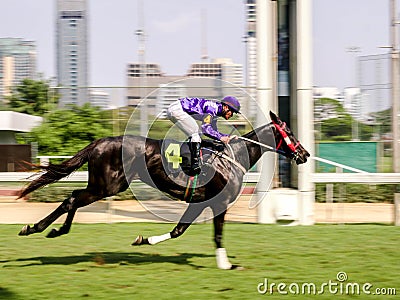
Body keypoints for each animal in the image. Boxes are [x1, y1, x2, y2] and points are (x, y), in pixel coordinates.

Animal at [18, 110, 310, 270]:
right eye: (290, 132)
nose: (305, 154)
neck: (232, 157)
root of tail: (101, 141)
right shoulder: (219, 203)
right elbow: (217, 236)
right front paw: (226, 264)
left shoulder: (198, 202)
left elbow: (178, 230)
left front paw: (143, 240)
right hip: (106, 186)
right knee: (73, 199)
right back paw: (38, 228)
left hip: (103, 185)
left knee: (72, 197)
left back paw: (51, 229)